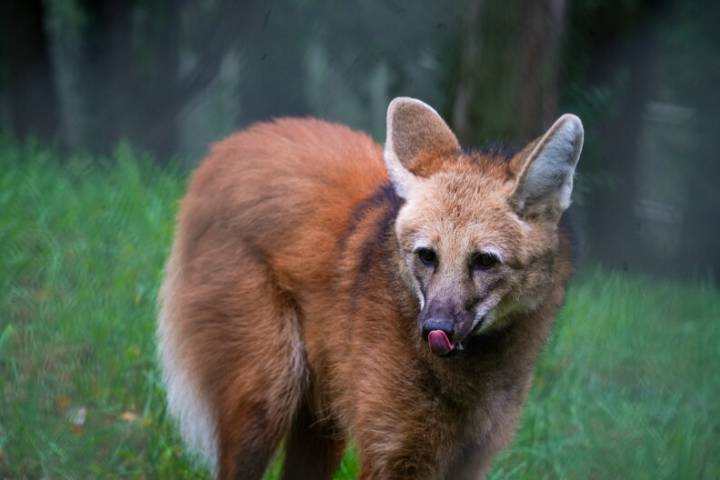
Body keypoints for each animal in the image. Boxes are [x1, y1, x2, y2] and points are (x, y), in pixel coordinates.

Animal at [157, 97, 583, 479]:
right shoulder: (394, 453)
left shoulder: (470, 457)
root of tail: (226, 148)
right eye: (427, 256)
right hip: (269, 390)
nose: (435, 329)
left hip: (323, 411)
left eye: (484, 260)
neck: (471, 376)